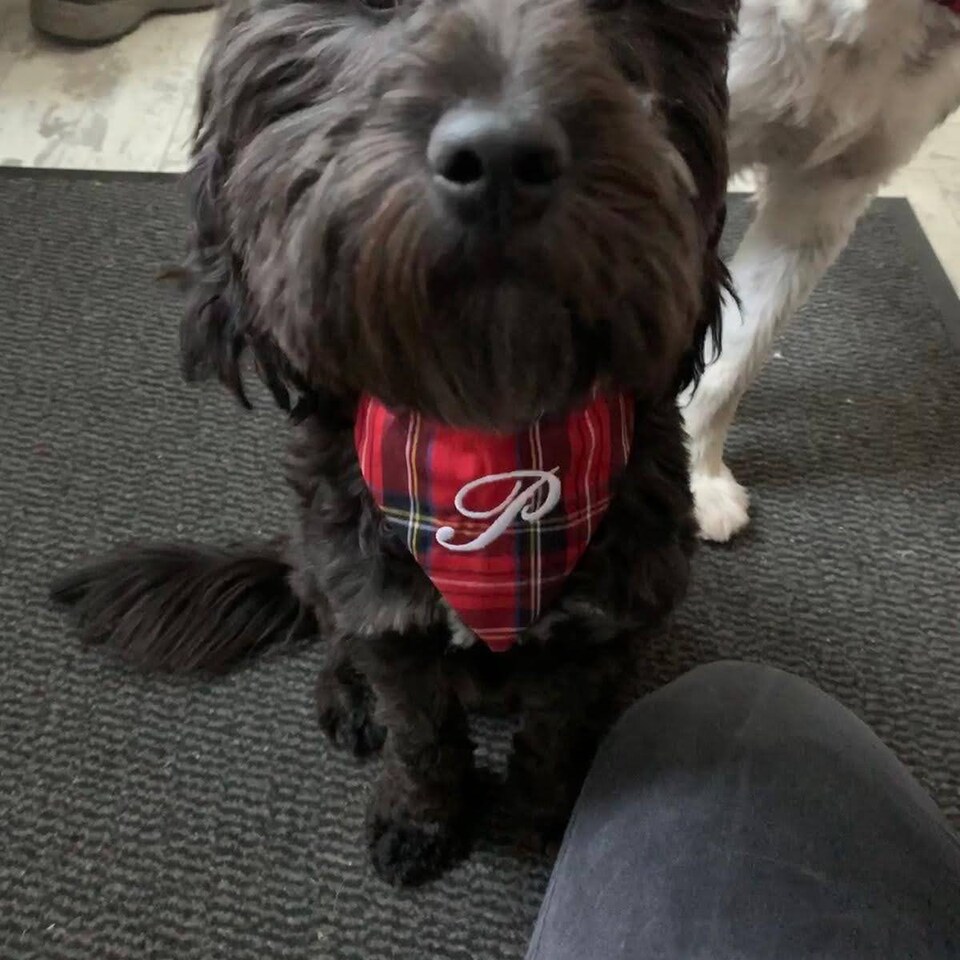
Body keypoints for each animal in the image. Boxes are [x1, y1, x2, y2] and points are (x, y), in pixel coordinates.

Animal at [54, 0, 736, 888]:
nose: (501, 157)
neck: (490, 440)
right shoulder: (390, 621)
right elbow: (421, 737)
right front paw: (421, 820)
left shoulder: (593, 635)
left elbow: (553, 738)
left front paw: (544, 818)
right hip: (321, 566)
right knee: (333, 637)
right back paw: (345, 698)